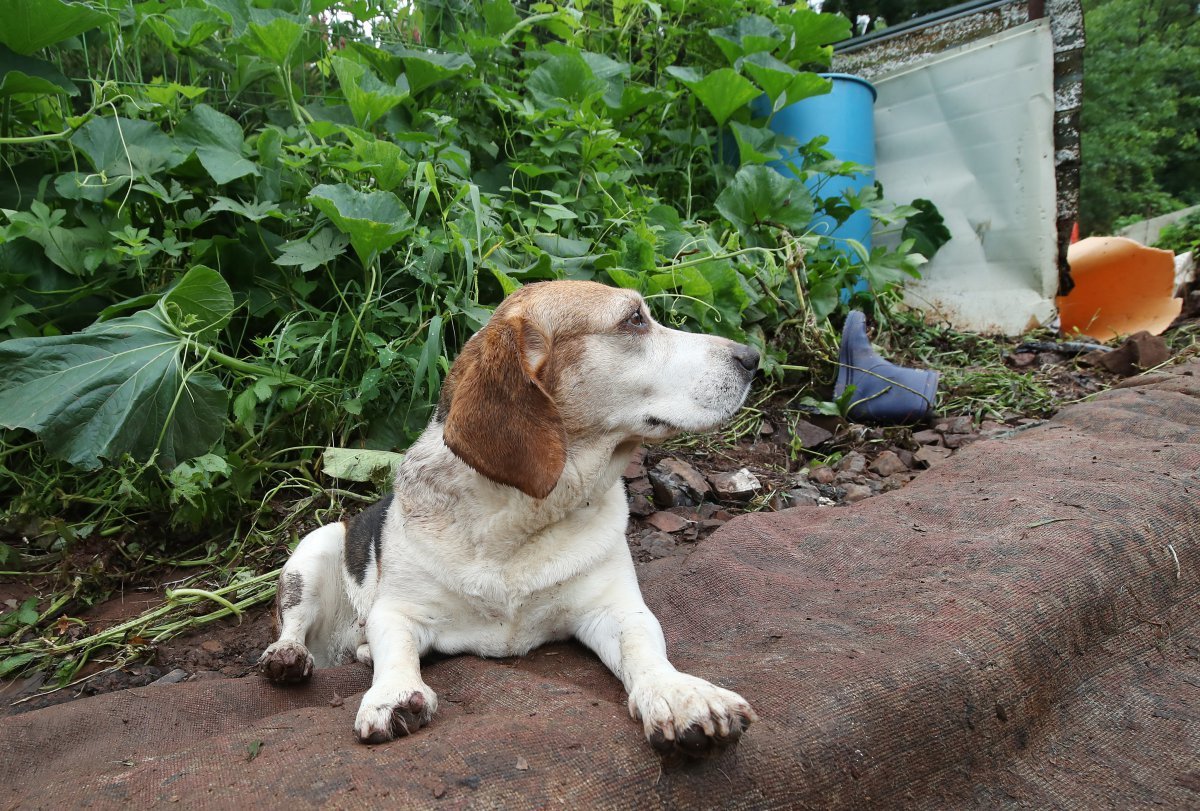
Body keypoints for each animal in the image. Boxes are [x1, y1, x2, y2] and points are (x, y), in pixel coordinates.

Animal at [260, 281, 758, 758]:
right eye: (634, 319)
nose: (753, 357)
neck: (518, 518)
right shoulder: (397, 611)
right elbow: (396, 650)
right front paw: (393, 695)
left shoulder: (616, 608)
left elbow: (644, 648)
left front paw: (677, 694)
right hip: (314, 549)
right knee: (292, 625)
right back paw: (288, 656)